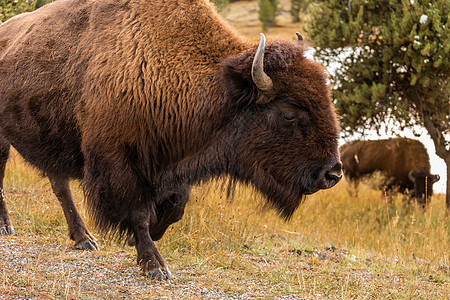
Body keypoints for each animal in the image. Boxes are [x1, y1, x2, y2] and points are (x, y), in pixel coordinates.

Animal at [0, 0, 342, 278]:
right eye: (289, 113)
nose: (333, 173)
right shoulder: (121, 162)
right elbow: (139, 212)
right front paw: (155, 265)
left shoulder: (174, 163)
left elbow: (174, 208)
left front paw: (144, 236)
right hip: (3, 138)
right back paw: (8, 227)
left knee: (59, 185)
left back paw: (84, 239)